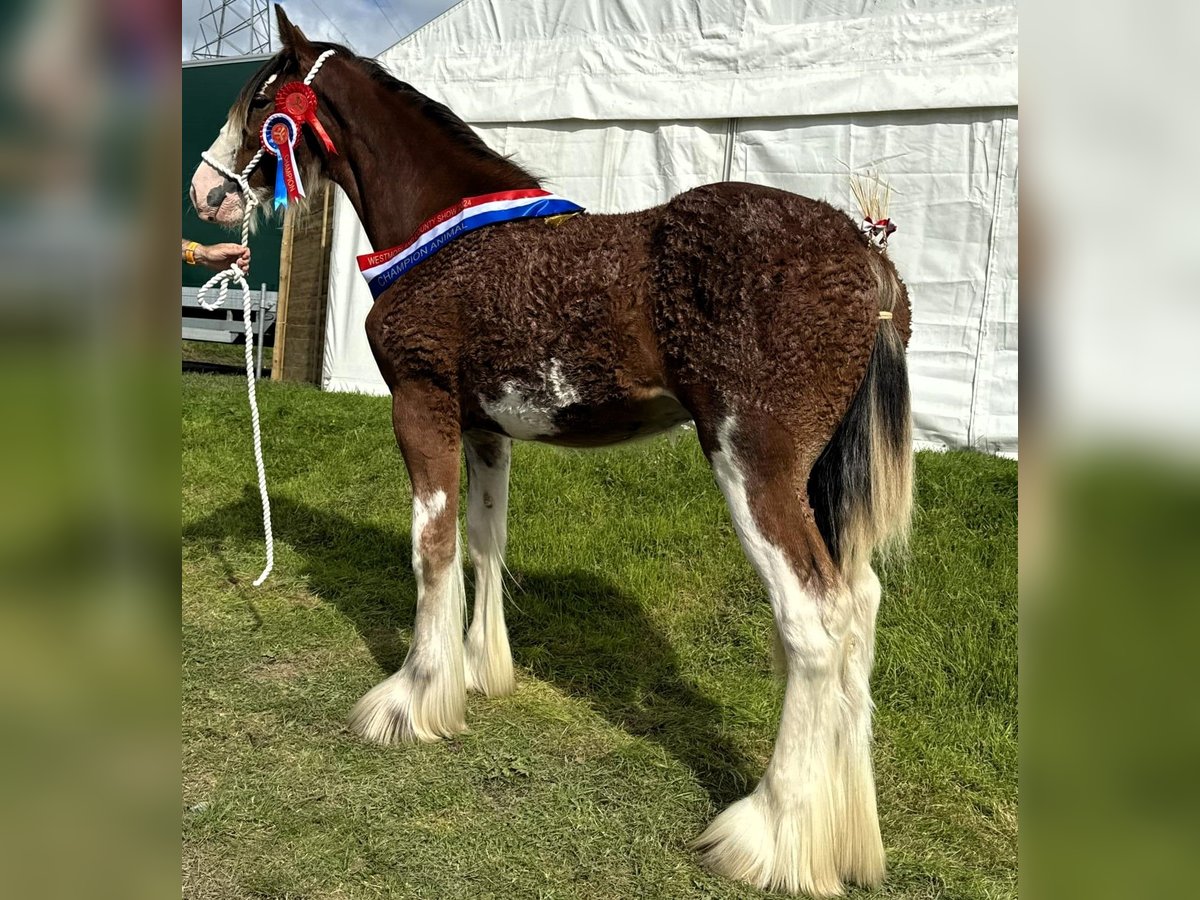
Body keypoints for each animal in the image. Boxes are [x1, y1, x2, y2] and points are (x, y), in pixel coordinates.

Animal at [192, 5, 912, 897]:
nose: (207, 192)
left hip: (756, 466)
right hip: (817, 480)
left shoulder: (421, 407)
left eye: (261, 101)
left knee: (814, 621)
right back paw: (841, 836)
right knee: (862, 608)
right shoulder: (484, 431)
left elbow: (430, 547)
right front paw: (475, 672)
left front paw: (410, 701)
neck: (443, 235)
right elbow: (482, 543)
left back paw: (769, 836)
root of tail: (866, 258)